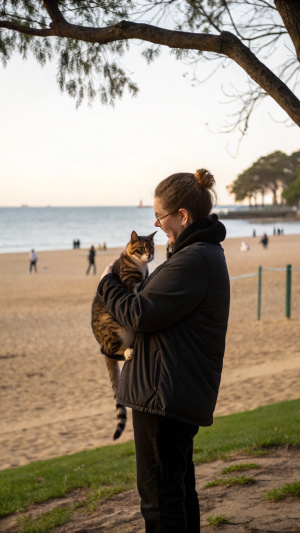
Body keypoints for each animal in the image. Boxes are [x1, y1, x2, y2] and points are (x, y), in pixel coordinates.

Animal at [91, 231, 157, 438]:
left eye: (151, 248)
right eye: (141, 248)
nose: (149, 255)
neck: (140, 266)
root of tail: (101, 342)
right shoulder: (130, 283)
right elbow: (136, 290)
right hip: (116, 328)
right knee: (109, 352)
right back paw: (127, 352)